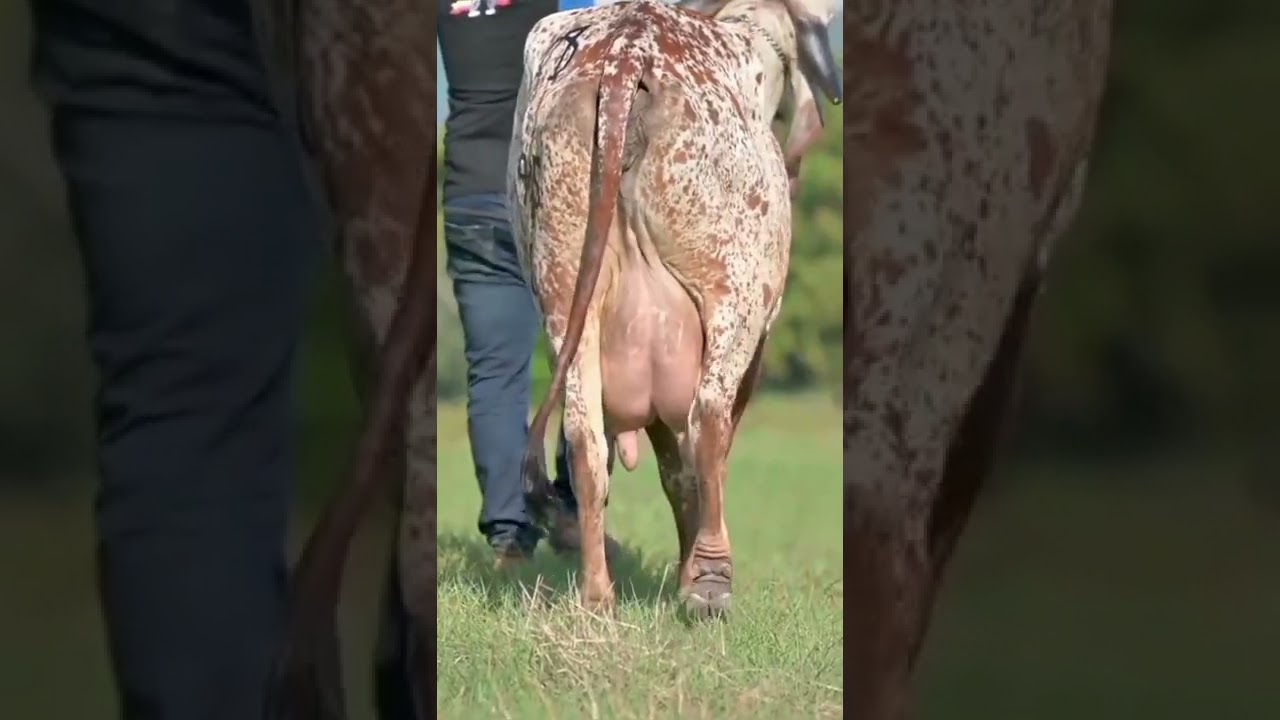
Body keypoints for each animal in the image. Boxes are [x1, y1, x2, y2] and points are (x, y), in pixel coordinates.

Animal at [509, 0, 842, 618]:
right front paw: (691, 575)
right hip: (730, 290)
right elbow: (702, 454)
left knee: (585, 439)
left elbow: (671, 468)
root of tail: (628, 50)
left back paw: (597, 597)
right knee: (707, 420)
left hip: (564, 294)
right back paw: (710, 582)